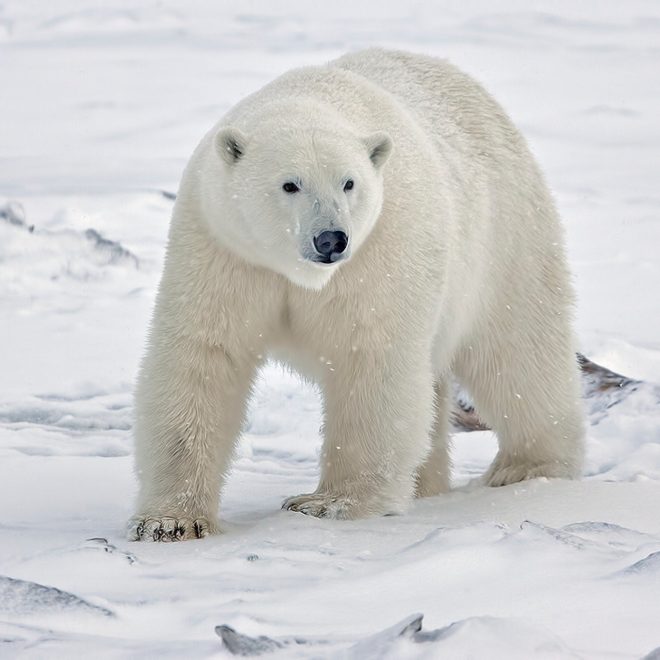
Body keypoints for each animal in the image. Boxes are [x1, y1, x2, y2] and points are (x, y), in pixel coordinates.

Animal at [128, 48, 585, 541]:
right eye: (290, 183)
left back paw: (526, 468)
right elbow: (204, 357)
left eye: (349, 183)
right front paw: (169, 521)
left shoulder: (382, 248)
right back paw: (427, 483)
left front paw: (329, 504)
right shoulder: (222, 247)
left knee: (517, 352)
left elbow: (372, 360)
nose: (331, 239)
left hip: (504, 234)